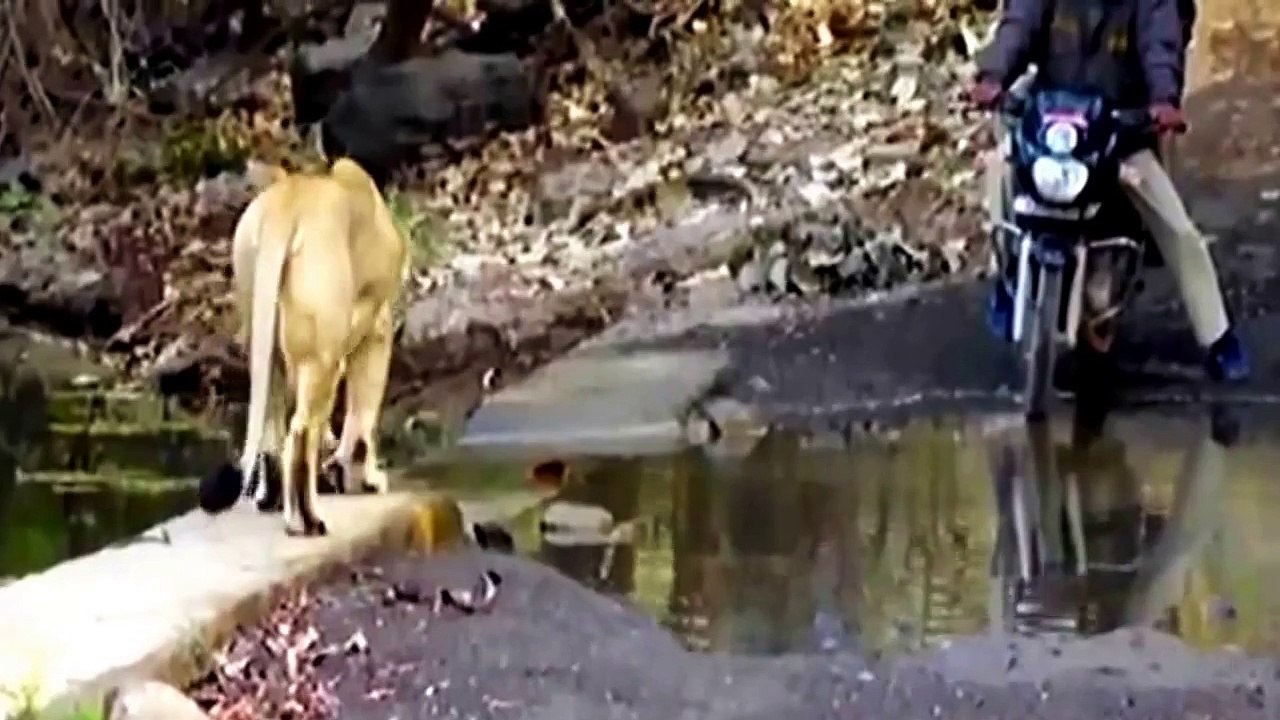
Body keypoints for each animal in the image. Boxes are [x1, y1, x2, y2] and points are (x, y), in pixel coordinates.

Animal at [198, 157, 408, 536]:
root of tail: (286, 204)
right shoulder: (377, 331)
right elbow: (363, 417)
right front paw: (366, 479)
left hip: (265, 344)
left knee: (272, 431)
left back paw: (273, 500)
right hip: (322, 355)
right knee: (299, 434)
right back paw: (308, 520)